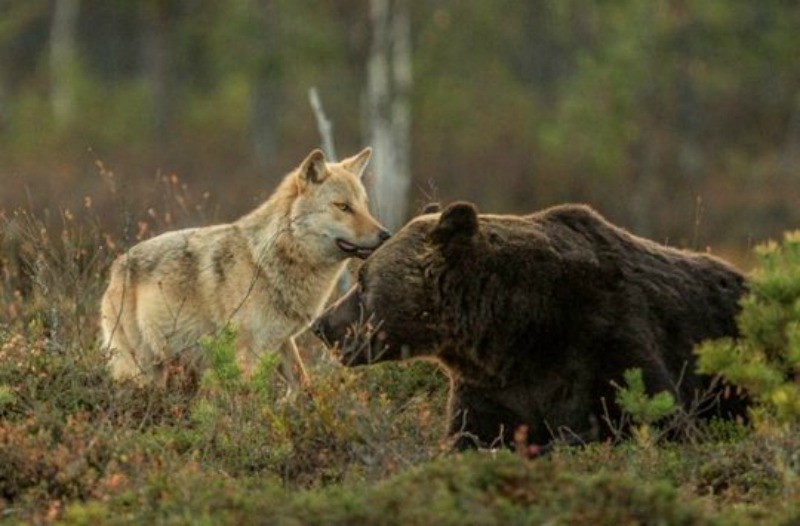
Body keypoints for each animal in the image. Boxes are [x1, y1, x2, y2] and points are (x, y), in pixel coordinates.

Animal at [101, 148, 390, 392]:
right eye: (343, 207)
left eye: (364, 206)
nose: (385, 235)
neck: (267, 262)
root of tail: (115, 268)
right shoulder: (246, 354)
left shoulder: (282, 341)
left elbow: (303, 384)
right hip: (142, 369)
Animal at [310, 204, 744, 452]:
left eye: (363, 279)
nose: (320, 325)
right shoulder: (493, 388)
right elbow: (472, 438)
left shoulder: (605, 337)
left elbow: (653, 419)